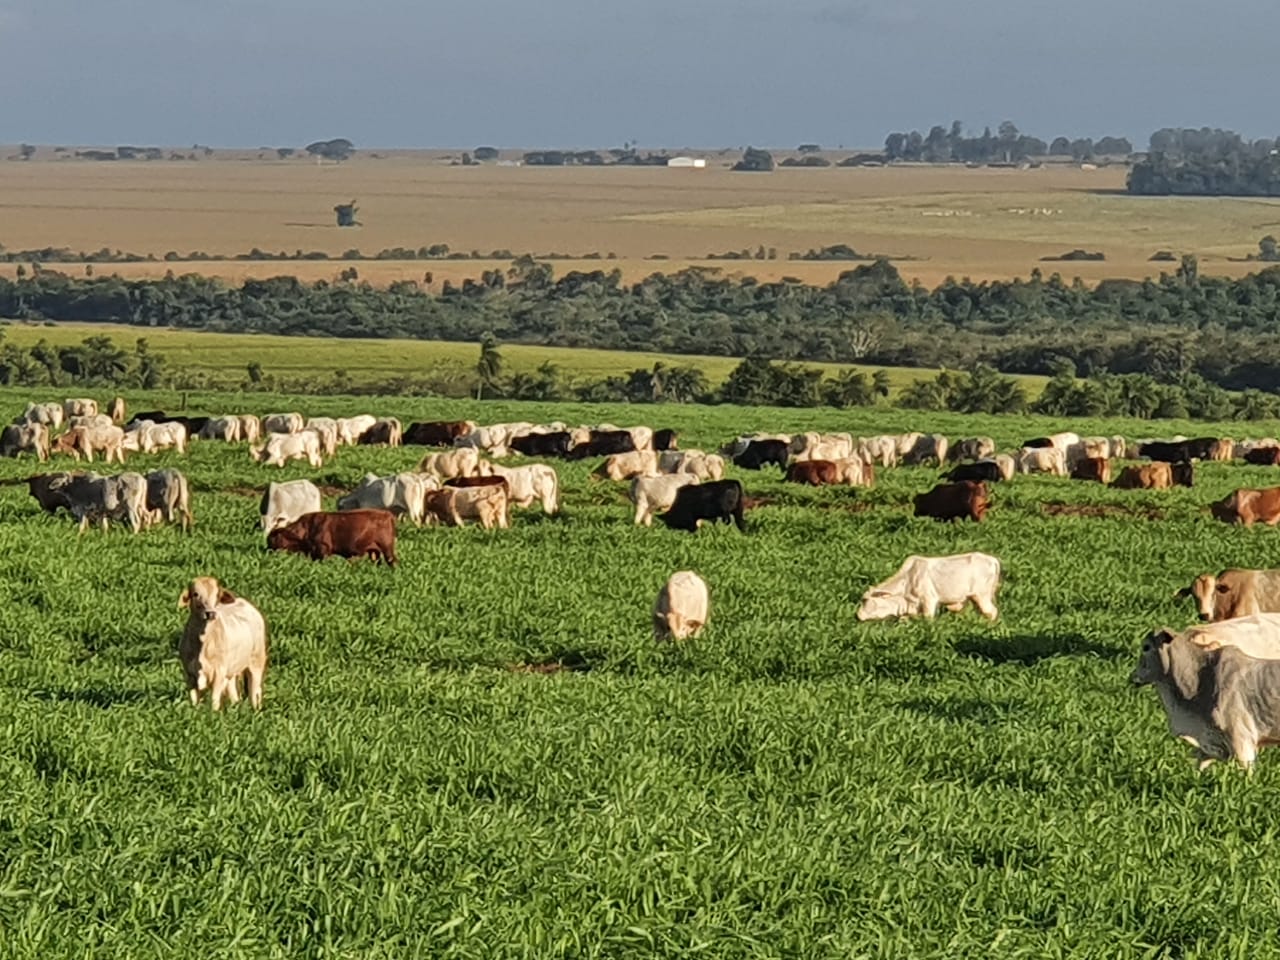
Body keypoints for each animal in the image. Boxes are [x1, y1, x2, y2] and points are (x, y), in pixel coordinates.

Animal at [179, 576, 268, 711]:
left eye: (217, 595)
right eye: (195, 594)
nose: (210, 613)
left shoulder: (219, 673)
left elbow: (214, 700)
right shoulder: (189, 675)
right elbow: (194, 702)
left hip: (256, 662)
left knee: (255, 693)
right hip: (231, 672)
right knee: (234, 693)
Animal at [263, 512, 394, 563]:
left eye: (273, 539)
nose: (268, 551)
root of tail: (387, 515)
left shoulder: (323, 550)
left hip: (387, 549)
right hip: (374, 551)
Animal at [855, 555, 1003, 624]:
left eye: (865, 600)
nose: (857, 616)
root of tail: (992, 559)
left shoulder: (929, 600)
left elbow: (928, 618)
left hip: (981, 596)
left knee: (991, 612)